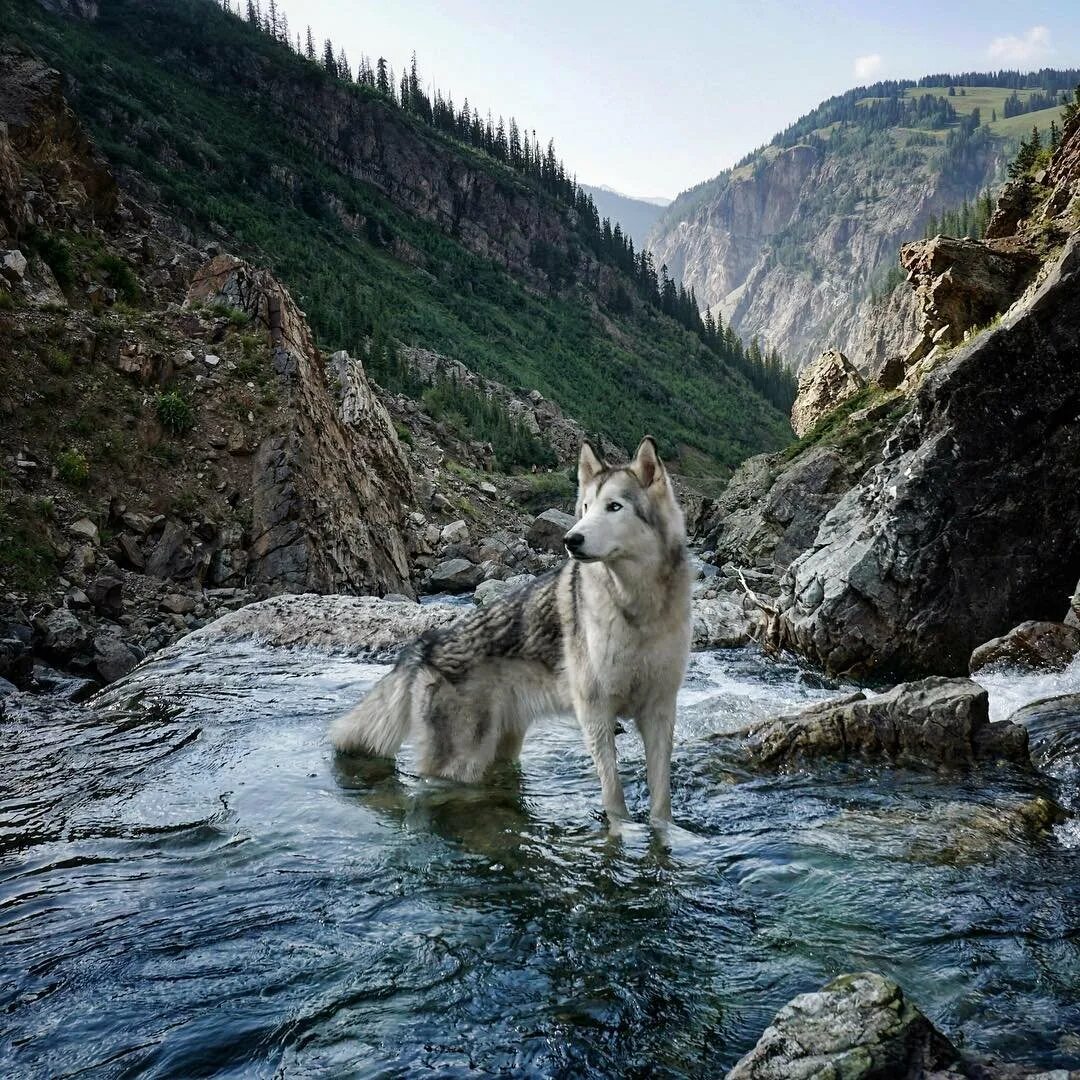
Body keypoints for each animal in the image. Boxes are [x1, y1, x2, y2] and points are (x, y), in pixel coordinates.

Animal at [328, 434, 695, 820]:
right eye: (586, 506)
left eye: (614, 507)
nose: (571, 540)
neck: (638, 608)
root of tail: (425, 646)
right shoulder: (596, 715)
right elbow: (614, 799)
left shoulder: (659, 712)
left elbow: (661, 802)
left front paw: (661, 832)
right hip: (461, 763)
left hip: (502, 747)